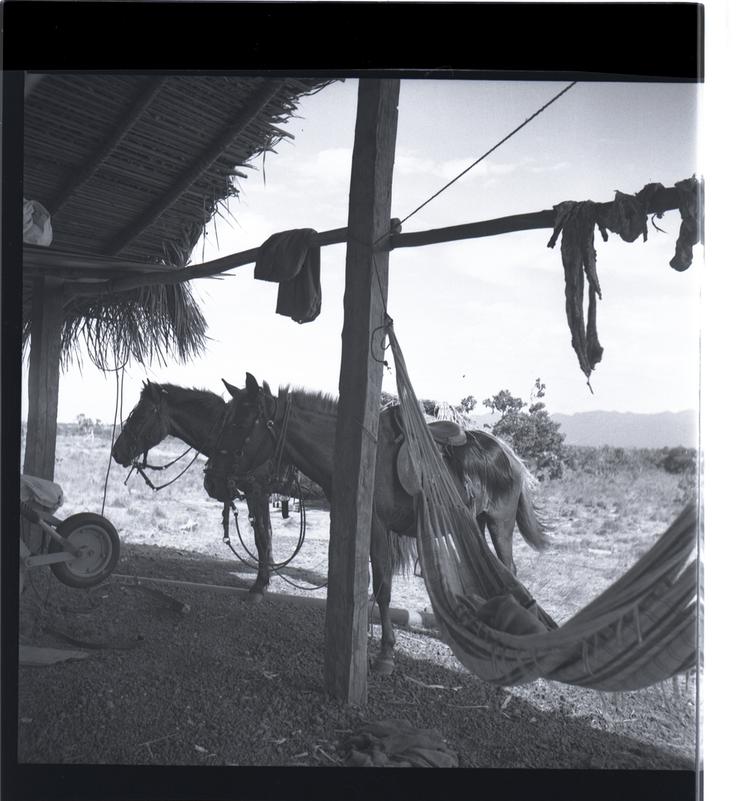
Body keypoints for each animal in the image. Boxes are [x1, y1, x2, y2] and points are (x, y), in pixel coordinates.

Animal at [113, 382, 284, 592]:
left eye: (141, 416)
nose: (116, 452)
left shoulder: (258, 492)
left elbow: (262, 536)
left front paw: (261, 582)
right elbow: (266, 533)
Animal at [206, 372, 552, 672]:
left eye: (239, 423)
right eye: (222, 420)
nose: (212, 481)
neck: (361, 459)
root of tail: (509, 455)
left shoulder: (377, 527)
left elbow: (383, 587)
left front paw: (385, 653)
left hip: (499, 523)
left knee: (508, 569)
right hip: (473, 525)